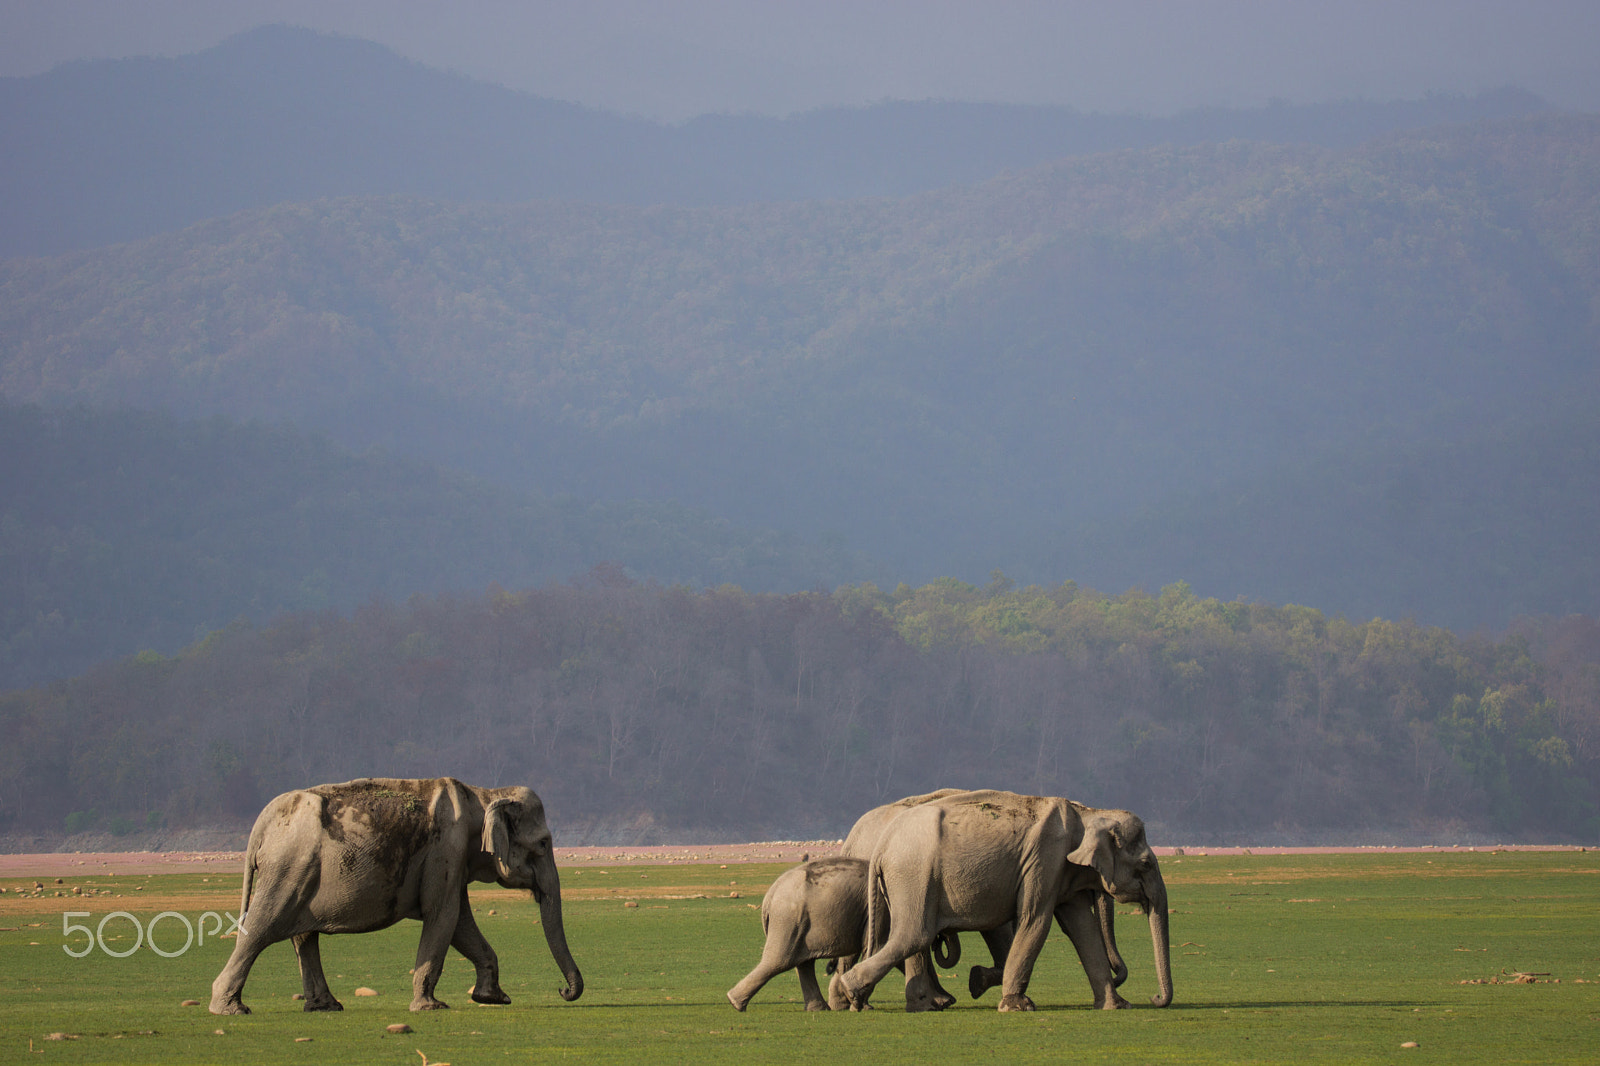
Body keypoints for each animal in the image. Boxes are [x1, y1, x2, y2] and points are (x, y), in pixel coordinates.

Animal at [209, 771, 585, 1011]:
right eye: (543, 843)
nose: (562, 991)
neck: (485, 794)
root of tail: (261, 825)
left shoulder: (452, 860)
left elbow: (460, 922)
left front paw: (493, 999)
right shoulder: (446, 849)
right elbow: (444, 917)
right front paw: (431, 1007)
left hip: (300, 873)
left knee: (303, 936)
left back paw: (326, 1007)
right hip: (288, 867)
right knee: (262, 927)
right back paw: (229, 1009)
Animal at [726, 851, 960, 1011]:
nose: (943, 937)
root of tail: (768, 897)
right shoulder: (880, 910)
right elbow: (879, 948)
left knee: (803, 963)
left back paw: (819, 1009)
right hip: (788, 919)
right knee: (780, 960)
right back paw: (736, 1003)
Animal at [838, 787, 1177, 1011]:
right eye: (1146, 864)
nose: (1154, 998)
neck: (1089, 813)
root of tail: (881, 846)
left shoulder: (1060, 871)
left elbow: (1082, 928)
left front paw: (1117, 1006)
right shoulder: (1043, 860)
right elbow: (1034, 920)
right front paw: (1016, 1005)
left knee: (911, 937)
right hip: (913, 875)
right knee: (913, 935)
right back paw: (854, 993)